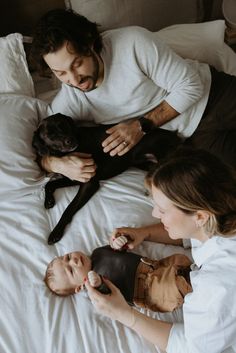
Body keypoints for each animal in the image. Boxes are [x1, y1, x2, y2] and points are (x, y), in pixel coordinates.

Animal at [32, 114, 182, 243]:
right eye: (50, 135)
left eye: (64, 125)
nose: (69, 140)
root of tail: (176, 136)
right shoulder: (73, 177)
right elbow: (49, 185)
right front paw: (48, 201)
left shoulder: (89, 183)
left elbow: (69, 208)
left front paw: (56, 232)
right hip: (145, 164)